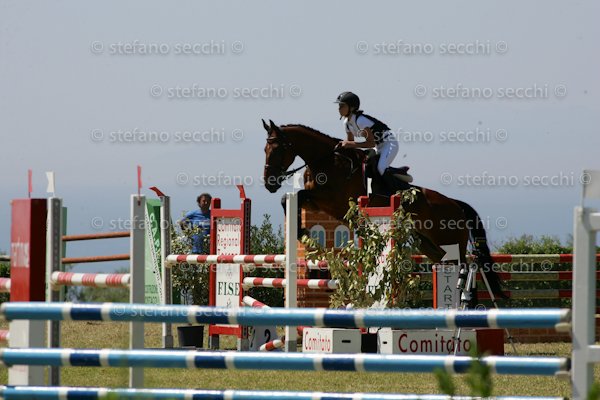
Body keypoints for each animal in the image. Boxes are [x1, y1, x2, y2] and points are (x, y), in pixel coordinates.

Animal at [262, 120, 507, 305]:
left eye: (277, 149)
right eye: (265, 149)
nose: (269, 183)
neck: (326, 160)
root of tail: (456, 204)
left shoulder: (334, 201)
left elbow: (299, 196)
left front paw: (304, 234)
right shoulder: (317, 202)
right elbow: (291, 198)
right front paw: (303, 234)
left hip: (449, 240)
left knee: (466, 266)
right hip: (428, 243)